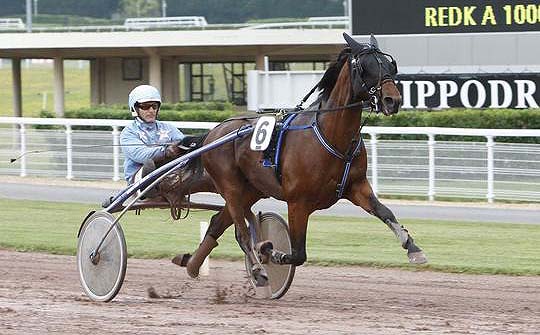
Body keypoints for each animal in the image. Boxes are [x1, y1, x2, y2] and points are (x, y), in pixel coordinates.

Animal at [175, 32, 428, 284]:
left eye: (390, 65)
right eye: (366, 67)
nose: (392, 100)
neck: (331, 136)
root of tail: (214, 132)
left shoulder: (357, 186)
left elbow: (385, 212)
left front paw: (413, 248)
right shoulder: (298, 202)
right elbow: (298, 253)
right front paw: (271, 252)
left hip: (251, 190)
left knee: (218, 223)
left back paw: (192, 265)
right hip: (231, 186)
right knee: (242, 232)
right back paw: (256, 267)